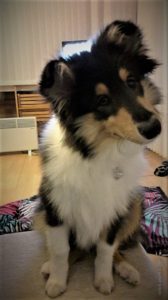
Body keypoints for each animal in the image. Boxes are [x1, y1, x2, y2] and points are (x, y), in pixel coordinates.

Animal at [37, 19, 161, 296]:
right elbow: (61, 250)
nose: (154, 128)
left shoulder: (116, 209)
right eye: (102, 100)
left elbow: (106, 248)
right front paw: (57, 283)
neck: (100, 152)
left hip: (135, 206)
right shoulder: (55, 207)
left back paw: (127, 269)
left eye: (132, 81)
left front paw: (104, 280)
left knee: (113, 250)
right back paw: (49, 267)